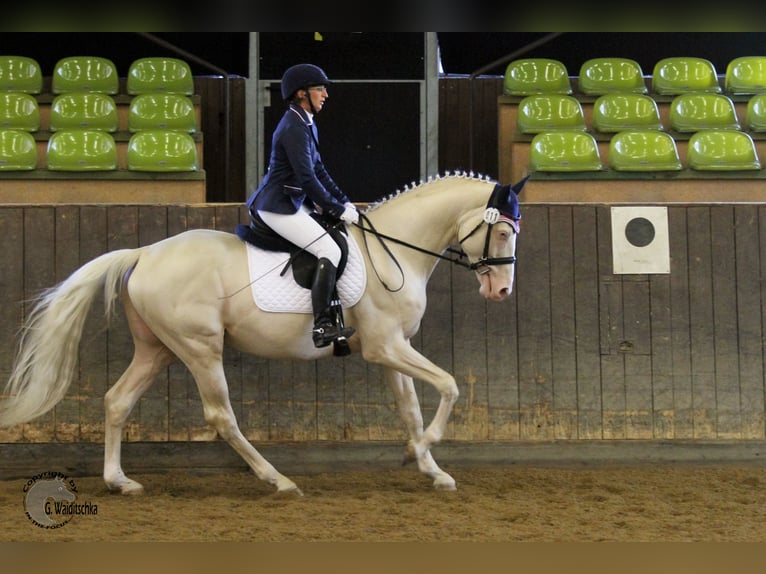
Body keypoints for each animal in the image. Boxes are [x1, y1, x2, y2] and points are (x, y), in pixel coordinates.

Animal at [0, 173, 528, 498]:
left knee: (117, 400)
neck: (392, 250)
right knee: (221, 416)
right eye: (503, 232)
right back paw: (278, 480)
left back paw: (119, 482)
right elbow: (449, 386)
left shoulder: (391, 349)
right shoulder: (387, 346)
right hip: (199, 349)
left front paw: (431, 469)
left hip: (158, 349)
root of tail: (144, 253)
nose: (502, 290)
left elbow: (411, 410)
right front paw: (423, 451)